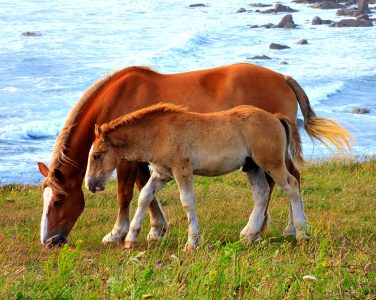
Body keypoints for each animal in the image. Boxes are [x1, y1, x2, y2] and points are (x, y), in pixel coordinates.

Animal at [86, 103, 308, 251]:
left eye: (96, 155)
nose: (90, 184)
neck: (160, 133)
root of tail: (276, 118)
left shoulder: (182, 169)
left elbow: (187, 202)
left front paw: (192, 242)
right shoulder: (162, 173)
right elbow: (145, 196)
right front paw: (130, 239)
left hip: (271, 163)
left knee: (291, 185)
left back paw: (301, 233)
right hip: (252, 167)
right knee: (262, 194)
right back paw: (248, 235)